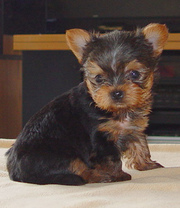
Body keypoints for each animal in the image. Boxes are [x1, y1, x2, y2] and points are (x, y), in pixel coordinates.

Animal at [6, 24, 168, 185]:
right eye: (99, 78)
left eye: (134, 74)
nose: (116, 93)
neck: (117, 111)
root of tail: (16, 173)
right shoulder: (101, 137)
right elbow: (111, 159)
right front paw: (118, 176)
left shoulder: (134, 128)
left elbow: (140, 144)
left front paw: (147, 164)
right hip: (61, 155)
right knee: (79, 169)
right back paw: (99, 176)